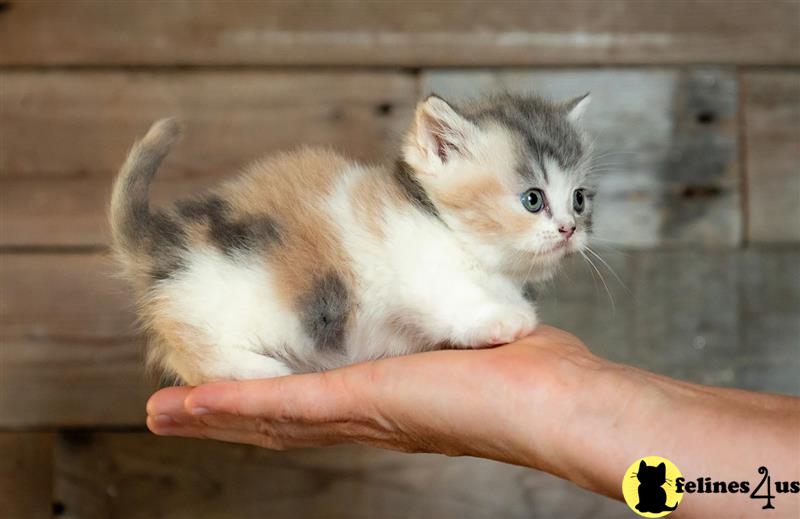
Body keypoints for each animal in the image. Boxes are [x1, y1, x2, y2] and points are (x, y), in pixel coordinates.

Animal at [109, 92, 592, 386]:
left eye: (580, 200)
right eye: (532, 199)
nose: (569, 228)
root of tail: (158, 242)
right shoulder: (416, 267)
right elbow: (448, 298)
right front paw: (501, 321)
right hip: (217, 300)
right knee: (192, 353)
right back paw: (258, 369)